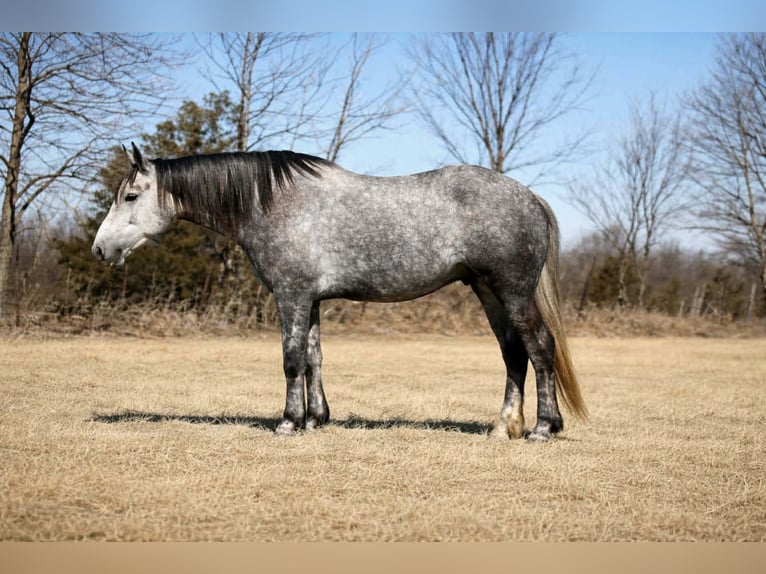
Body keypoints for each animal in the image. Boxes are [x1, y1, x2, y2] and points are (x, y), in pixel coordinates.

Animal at [92, 143, 587, 442]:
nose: (99, 249)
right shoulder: (310, 300)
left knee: (539, 347)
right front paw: (316, 419)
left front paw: (289, 422)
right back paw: (504, 426)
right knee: (513, 353)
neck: (272, 202)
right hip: (487, 291)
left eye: (131, 196)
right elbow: (314, 359)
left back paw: (544, 427)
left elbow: (291, 359)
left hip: (512, 291)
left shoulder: (291, 295)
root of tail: (529, 196)